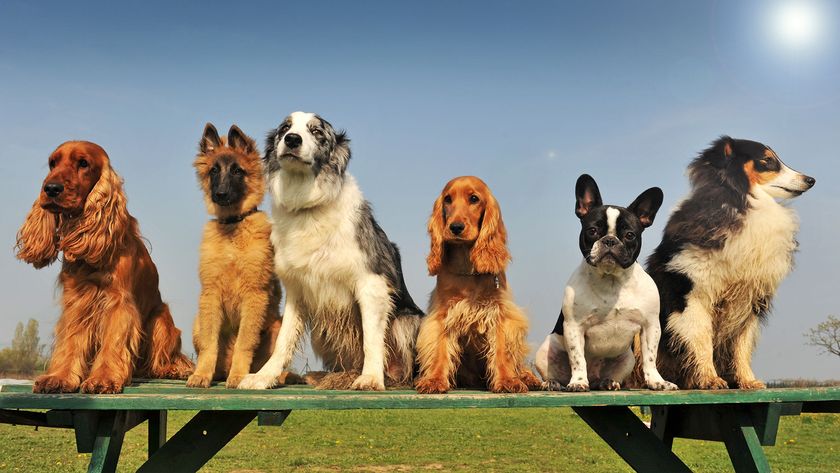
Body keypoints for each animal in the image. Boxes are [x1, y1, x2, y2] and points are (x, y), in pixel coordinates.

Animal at [16, 142, 192, 392]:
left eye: (83, 163)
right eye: (52, 163)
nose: (51, 188)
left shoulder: (118, 303)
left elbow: (113, 342)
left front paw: (103, 379)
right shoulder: (77, 302)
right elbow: (71, 342)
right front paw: (59, 377)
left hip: (161, 320)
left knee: (165, 359)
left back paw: (172, 369)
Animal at [186, 122, 284, 388]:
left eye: (238, 171)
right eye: (214, 171)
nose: (220, 194)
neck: (233, 225)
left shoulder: (255, 295)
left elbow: (244, 342)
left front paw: (239, 376)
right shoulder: (210, 295)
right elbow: (210, 344)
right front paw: (202, 374)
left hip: (278, 326)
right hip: (197, 321)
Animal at [416, 175, 544, 392]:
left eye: (474, 199)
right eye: (447, 199)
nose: (455, 227)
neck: (467, 269)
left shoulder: (498, 312)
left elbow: (501, 350)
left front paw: (507, 380)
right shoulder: (443, 313)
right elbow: (440, 349)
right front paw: (434, 380)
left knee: (519, 364)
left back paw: (529, 378)